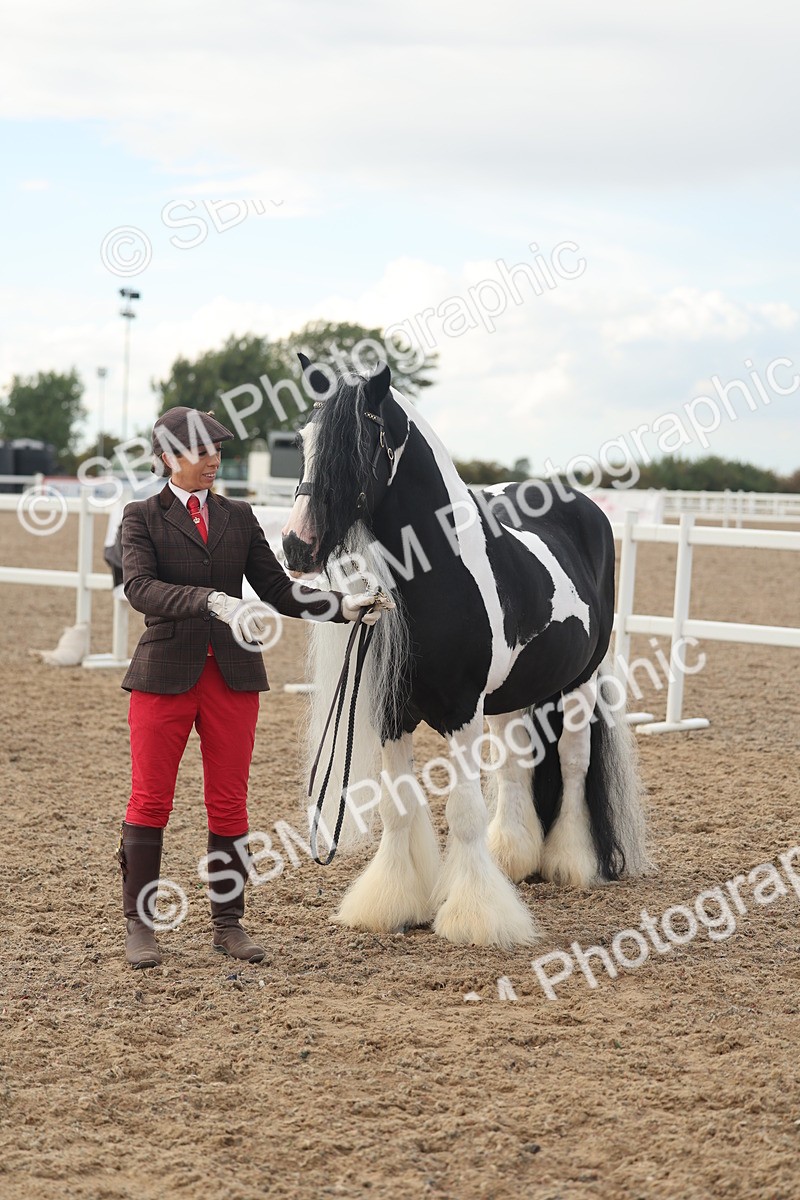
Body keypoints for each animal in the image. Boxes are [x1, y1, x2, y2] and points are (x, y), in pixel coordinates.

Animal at [281, 357, 649, 948]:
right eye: (303, 440)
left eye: (356, 447)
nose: (297, 546)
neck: (439, 571)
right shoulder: (393, 714)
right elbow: (398, 807)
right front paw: (391, 901)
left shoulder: (460, 713)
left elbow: (465, 810)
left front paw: (476, 916)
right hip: (512, 698)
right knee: (518, 766)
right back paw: (515, 857)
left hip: (579, 684)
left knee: (573, 763)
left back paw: (570, 863)